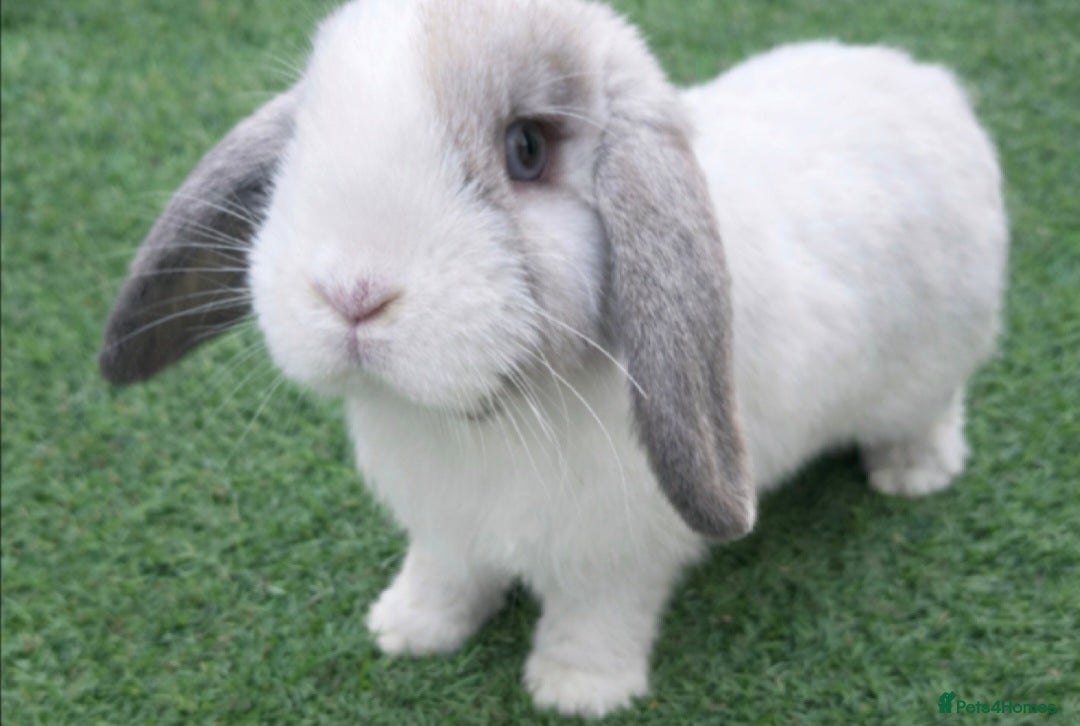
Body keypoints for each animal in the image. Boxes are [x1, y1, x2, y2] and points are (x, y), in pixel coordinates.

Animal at [100, 0, 1008, 717]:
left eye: (527, 150)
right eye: (304, 141)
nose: (352, 292)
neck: (488, 416)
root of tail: (932, 88)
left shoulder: (617, 558)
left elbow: (594, 620)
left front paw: (574, 692)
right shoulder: (445, 532)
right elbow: (445, 577)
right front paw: (406, 631)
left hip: (930, 367)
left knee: (935, 411)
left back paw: (912, 475)